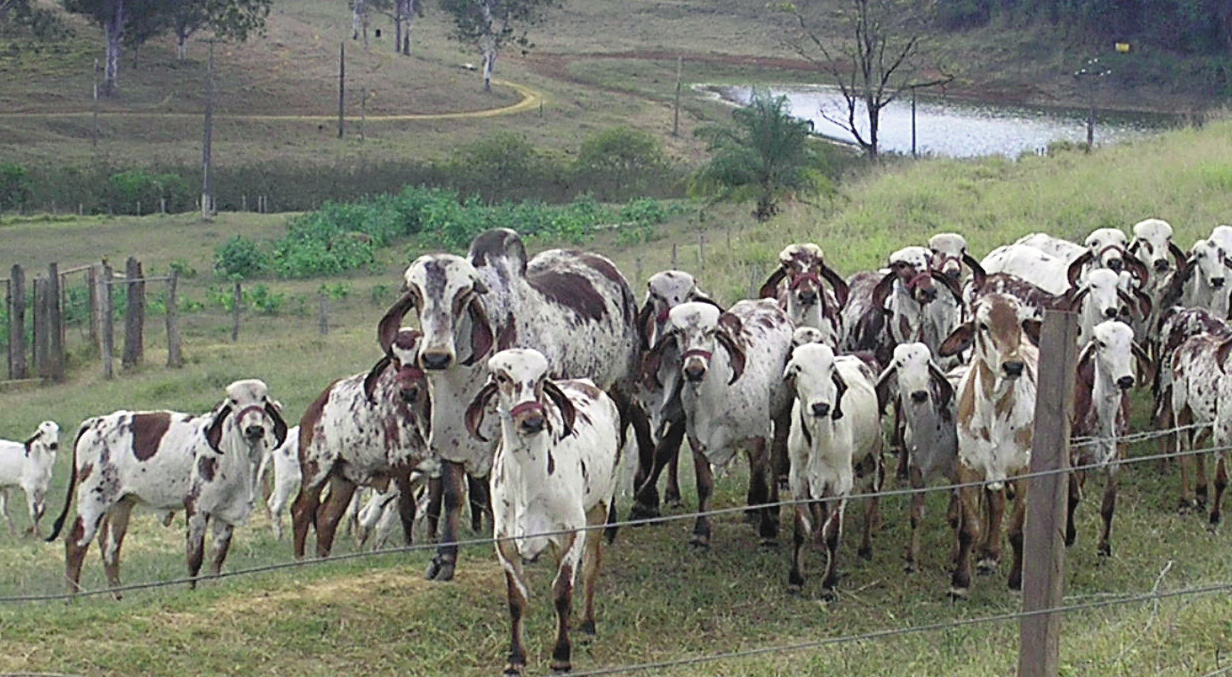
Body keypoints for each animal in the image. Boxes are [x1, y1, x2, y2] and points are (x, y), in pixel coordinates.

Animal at [45, 381, 288, 600]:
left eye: (262, 400)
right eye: (234, 401)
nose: (254, 429)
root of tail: (97, 422)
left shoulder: (226, 514)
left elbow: (217, 556)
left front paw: (213, 588)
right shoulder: (197, 507)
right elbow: (194, 557)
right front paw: (191, 591)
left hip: (121, 503)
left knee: (110, 547)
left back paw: (118, 597)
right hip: (93, 498)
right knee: (76, 543)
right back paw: (71, 599)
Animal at [374, 230, 645, 583]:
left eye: (463, 295)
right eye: (415, 293)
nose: (435, 356)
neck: (463, 380)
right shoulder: (449, 439)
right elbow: (454, 497)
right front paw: (444, 559)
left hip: (620, 389)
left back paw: (609, 525)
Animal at [468, 349, 625, 677]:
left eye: (541, 377)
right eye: (501, 377)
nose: (532, 420)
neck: (528, 483)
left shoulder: (572, 532)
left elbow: (562, 591)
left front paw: (561, 655)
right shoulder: (504, 541)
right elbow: (517, 598)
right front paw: (515, 658)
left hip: (601, 506)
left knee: (591, 566)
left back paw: (587, 623)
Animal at [783, 347, 882, 598]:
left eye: (830, 367)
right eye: (798, 367)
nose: (821, 407)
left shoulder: (842, 482)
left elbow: (834, 532)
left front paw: (829, 582)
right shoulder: (797, 480)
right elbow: (801, 530)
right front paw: (796, 579)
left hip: (872, 456)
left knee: (870, 499)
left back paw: (865, 548)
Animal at [941, 291, 1039, 600]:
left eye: (1019, 322)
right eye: (982, 325)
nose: (1013, 366)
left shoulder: (1024, 470)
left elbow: (1018, 530)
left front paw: (1017, 581)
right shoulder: (968, 468)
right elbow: (968, 529)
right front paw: (959, 582)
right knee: (995, 505)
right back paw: (988, 554)